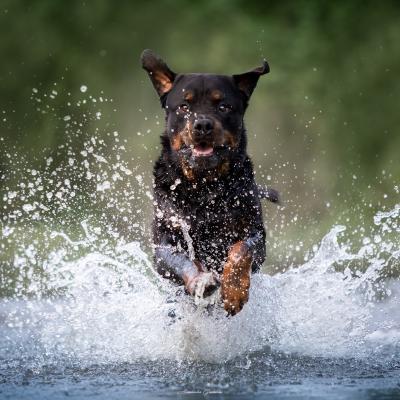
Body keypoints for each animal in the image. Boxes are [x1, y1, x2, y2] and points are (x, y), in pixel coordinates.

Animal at [141, 49, 278, 316]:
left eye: (224, 106)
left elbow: (241, 250)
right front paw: (200, 280)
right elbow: (182, 260)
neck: (204, 187)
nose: (203, 124)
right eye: (184, 106)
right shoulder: (164, 243)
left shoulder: (256, 235)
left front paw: (234, 293)